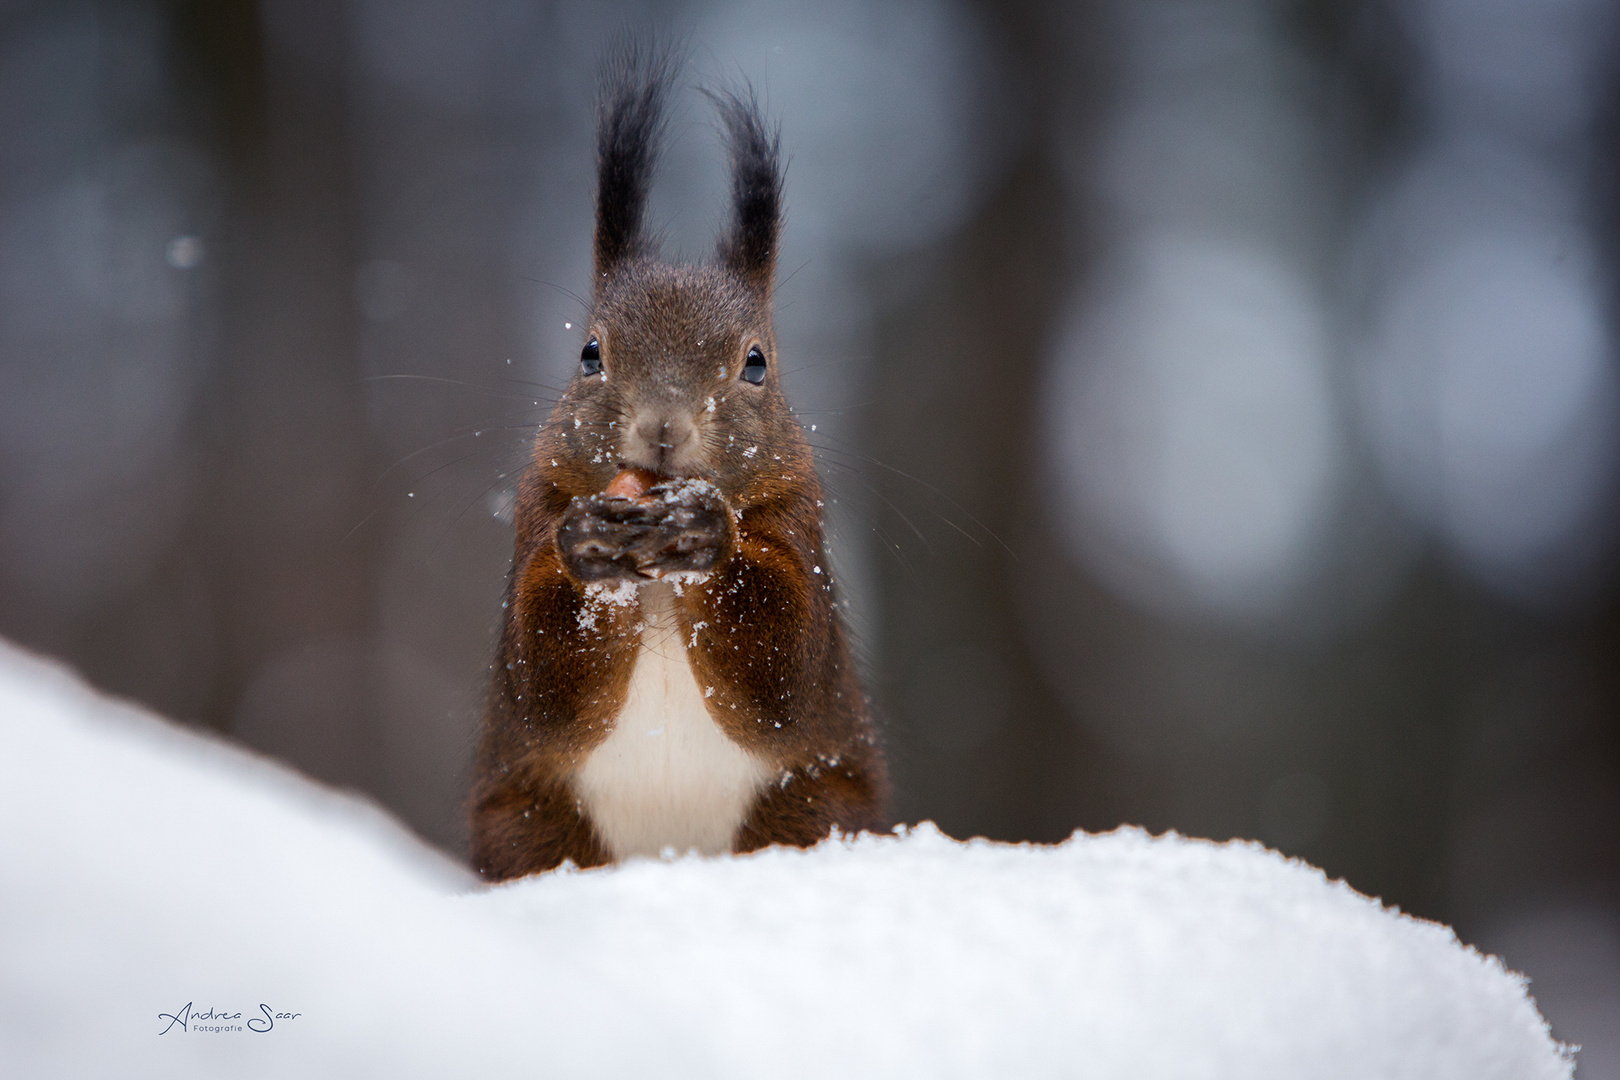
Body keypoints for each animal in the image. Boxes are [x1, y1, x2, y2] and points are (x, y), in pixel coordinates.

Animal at [469, 46, 894, 880]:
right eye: (589, 353)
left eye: (756, 363)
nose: (663, 428)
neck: (658, 577)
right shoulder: (538, 504)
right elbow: (543, 680)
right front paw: (588, 549)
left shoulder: (800, 514)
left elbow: (784, 667)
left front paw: (706, 536)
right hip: (527, 825)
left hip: (814, 809)